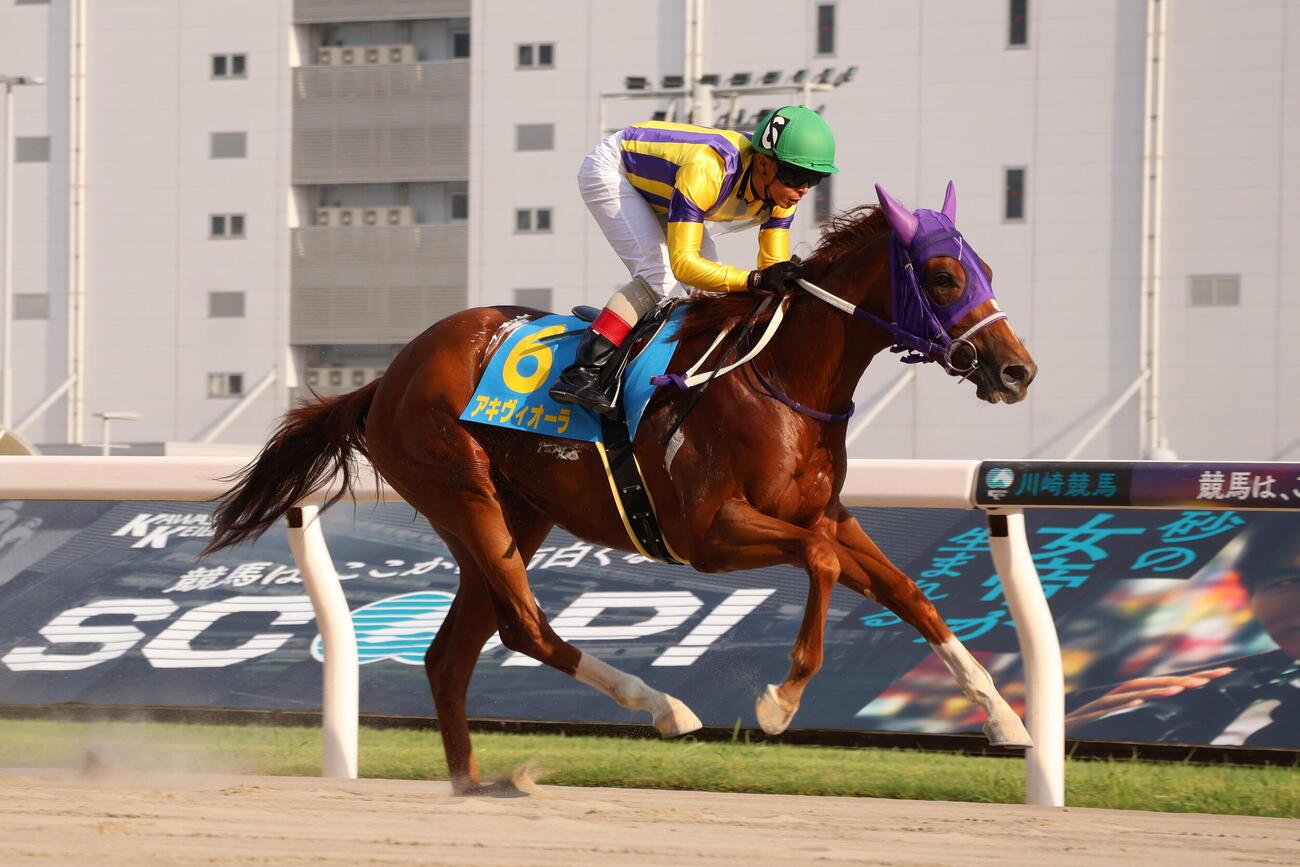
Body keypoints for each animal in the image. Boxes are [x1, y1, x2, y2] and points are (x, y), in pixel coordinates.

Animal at [206, 183, 1038, 794]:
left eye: (990, 272)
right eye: (943, 276)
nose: (1017, 369)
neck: (783, 381)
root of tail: (386, 376)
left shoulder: (827, 515)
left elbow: (907, 590)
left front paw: (1005, 718)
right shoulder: (709, 533)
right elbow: (823, 563)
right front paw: (779, 701)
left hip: (518, 512)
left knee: (452, 652)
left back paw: (475, 783)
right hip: (463, 492)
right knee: (524, 627)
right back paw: (664, 707)